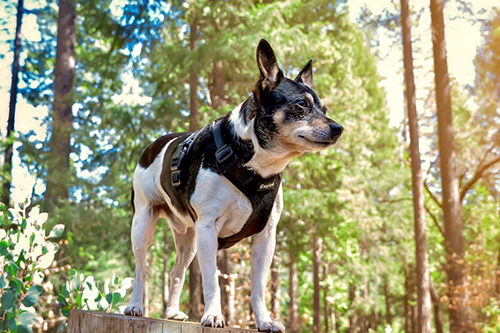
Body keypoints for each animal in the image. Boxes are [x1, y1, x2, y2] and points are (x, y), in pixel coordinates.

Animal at [125, 38, 344, 330]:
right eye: (301, 104)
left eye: (325, 110)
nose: (338, 128)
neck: (255, 166)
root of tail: (153, 145)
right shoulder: (208, 229)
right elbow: (212, 281)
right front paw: (213, 315)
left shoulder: (266, 237)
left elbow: (258, 286)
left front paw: (264, 321)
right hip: (143, 224)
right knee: (140, 270)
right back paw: (135, 306)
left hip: (188, 241)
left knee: (176, 273)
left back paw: (171, 312)